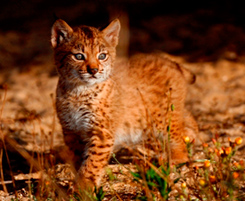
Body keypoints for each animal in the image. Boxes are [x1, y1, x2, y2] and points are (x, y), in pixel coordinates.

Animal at [50, 18, 198, 188]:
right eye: (79, 56)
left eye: (102, 56)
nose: (93, 70)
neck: (78, 90)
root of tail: (171, 62)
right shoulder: (71, 131)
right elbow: (79, 159)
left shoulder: (101, 132)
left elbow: (92, 161)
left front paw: (84, 185)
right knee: (188, 122)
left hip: (164, 118)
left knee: (179, 139)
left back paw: (175, 158)